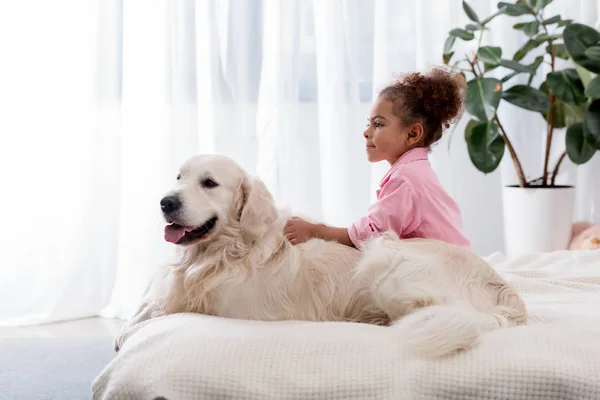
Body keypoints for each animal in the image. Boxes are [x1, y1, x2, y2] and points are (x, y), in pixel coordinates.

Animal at [115, 155, 528, 358]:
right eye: (179, 177)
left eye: (209, 183)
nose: (166, 202)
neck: (227, 251)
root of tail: (505, 292)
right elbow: (148, 307)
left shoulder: (223, 308)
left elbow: (159, 315)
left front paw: (127, 333)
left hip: (385, 263)